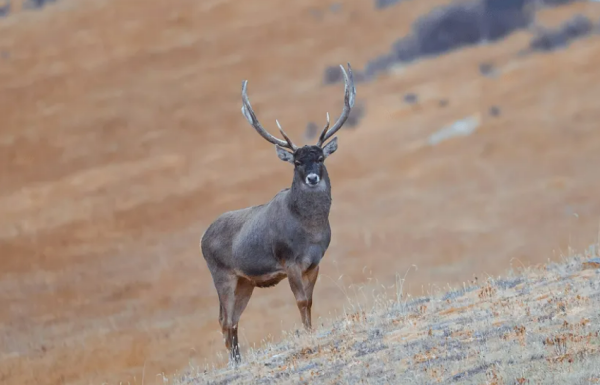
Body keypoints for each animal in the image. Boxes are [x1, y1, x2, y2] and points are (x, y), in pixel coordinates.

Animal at [199, 63, 354, 364]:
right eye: (297, 162)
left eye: (320, 157)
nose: (313, 178)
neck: (310, 232)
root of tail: (202, 238)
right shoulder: (288, 260)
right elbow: (301, 300)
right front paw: (307, 336)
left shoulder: (315, 261)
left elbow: (310, 300)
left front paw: (310, 331)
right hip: (221, 274)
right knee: (224, 320)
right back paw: (234, 362)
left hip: (245, 281)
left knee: (231, 320)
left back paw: (238, 359)